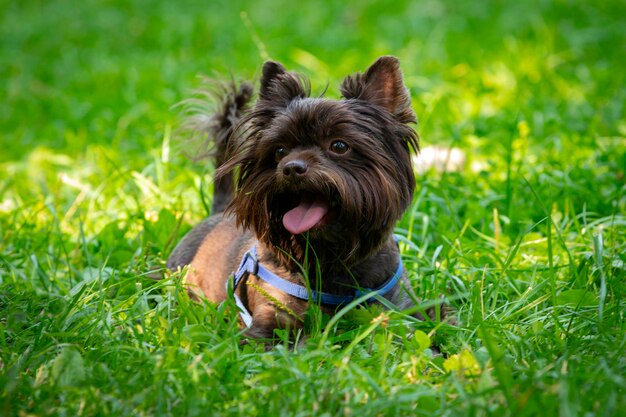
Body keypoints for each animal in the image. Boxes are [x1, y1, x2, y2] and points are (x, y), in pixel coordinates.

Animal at [168, 56, 436, 338]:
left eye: (339, 145)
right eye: (279, 151)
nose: (291, 167)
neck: (330, 258)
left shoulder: (403, 309)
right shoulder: (270, 324)